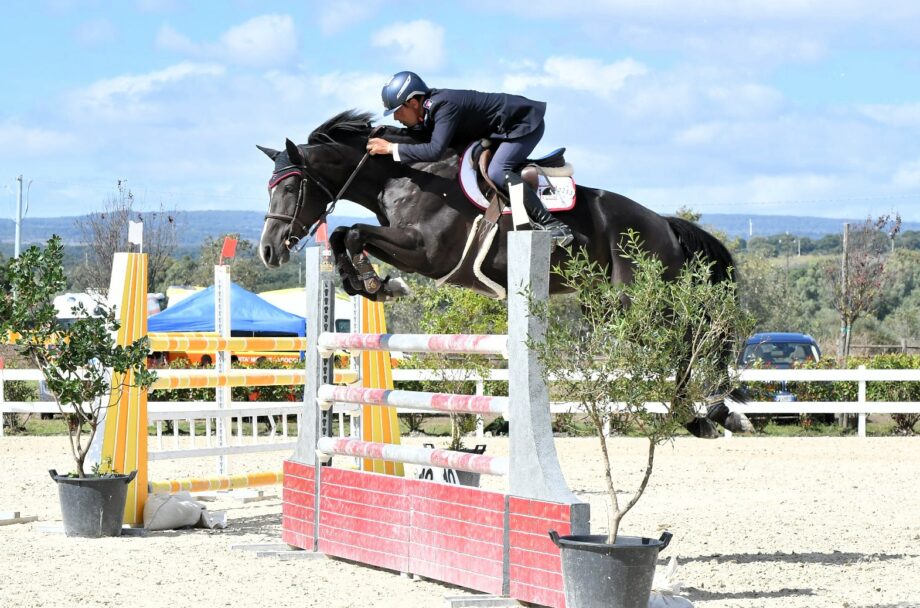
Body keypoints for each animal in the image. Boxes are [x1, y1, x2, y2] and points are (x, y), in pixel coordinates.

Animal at [255, 108, 752, 432]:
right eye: (269, 187)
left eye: (292, 187)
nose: (268, 251)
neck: (403, 175)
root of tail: (663, 222)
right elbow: (344, 235)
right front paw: (372, 283)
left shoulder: (429, 252)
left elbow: (354, 233)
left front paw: (380, 282)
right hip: (606, 308)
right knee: (691, 335)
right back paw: (704, 413)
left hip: (639, 303)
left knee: (693, 335)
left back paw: (709, 413)